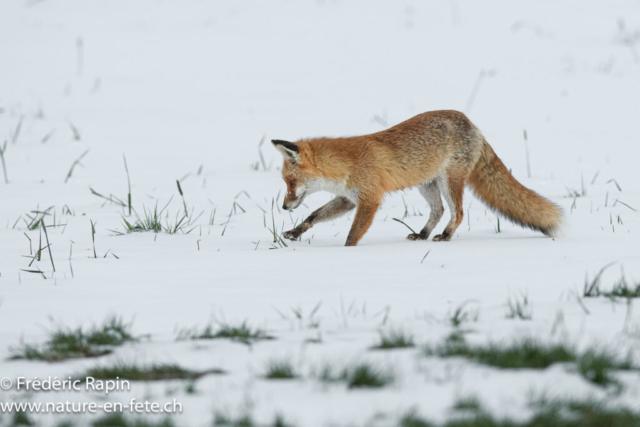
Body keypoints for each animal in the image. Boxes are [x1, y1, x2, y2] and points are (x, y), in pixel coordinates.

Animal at [272, 110, 564, 247]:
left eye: (291, 182)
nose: (284, 207)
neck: (346, 164)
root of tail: (472, 123)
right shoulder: (348, 198)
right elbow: (313, 216)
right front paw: (295, 232)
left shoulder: (369, 199)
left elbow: (353, 235)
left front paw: (346, 253)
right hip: (427, 184)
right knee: (439, 210)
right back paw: (423, 234)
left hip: (449, 181)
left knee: (457, 212)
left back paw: (445, 236)